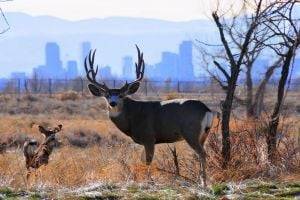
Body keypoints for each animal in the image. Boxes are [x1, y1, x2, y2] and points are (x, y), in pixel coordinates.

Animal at [84, 46, 218, 187]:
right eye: (107, 95)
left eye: (121, 95)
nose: (113, 103)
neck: (133, 116)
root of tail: (206, 109)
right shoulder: (145, 141)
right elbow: (143, 160)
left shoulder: (149, 137)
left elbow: (147, 161)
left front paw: (149, 181)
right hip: (204, 134)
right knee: (201, 153)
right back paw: (200, 180)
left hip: (191, 132)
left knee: (202, 153)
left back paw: (203, 183)